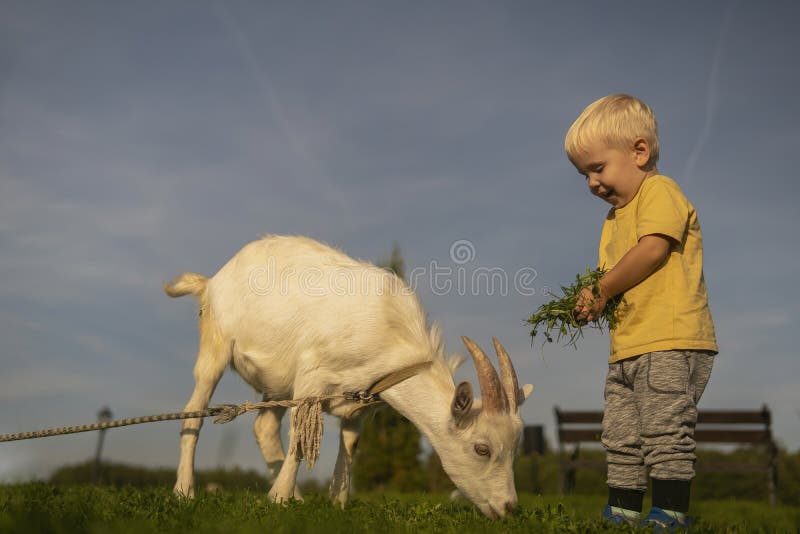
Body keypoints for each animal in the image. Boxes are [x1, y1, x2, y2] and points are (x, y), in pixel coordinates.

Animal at [166, 236, 532, 520]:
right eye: (482, 449)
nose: (509, 508)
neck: (391, 339)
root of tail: (212, 281)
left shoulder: (361, 401)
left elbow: (351, 445)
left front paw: (335, 504)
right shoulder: (311, 378)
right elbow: (301, 438)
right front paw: (279, 499)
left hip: (277, 382)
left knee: (265, 427)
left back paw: (298, 498)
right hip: (216, 345)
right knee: (194, 413)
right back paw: (185, 491)